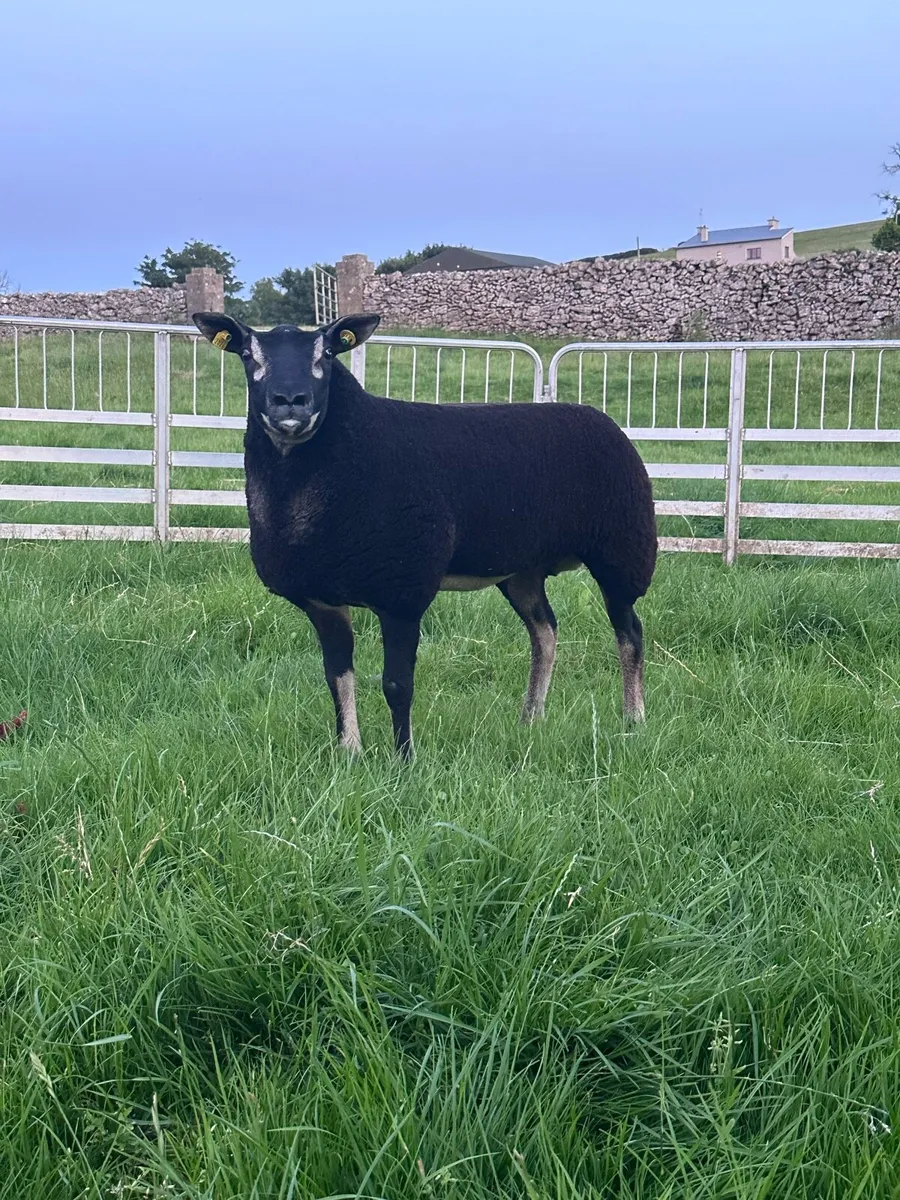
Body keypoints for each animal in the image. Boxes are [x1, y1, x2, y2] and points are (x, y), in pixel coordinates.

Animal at [193, 311, 657, 759]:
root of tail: (598, 416)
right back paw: (531, 719)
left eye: (325, 354)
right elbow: (337, 677)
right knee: (545, 632)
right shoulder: (322, 600)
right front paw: (348, 753)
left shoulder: (402, 591)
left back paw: (633, 719)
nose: (290, 400)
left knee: (629, 633)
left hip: (622, 551)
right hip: (522, 569)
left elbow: (397, 684)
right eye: (247, 355)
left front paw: (404, 760)